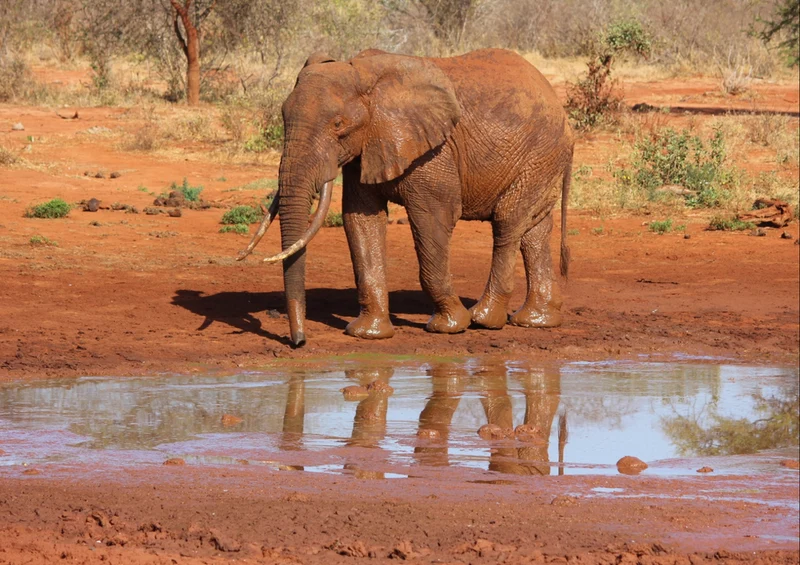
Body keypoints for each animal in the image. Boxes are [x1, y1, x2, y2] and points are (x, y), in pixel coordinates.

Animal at [238, 48, 574, 346]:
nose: (299, 342)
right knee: (533, 230)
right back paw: (535, 320)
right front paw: (367, 334)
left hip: (539, 152)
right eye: (283, 117)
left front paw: (449, 326)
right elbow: (361, 221)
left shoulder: (433, 152)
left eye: (338, 125)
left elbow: (433, 218)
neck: (365, 78)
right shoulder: (368, 147)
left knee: (507, 222)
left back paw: (485, 319)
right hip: (542, 160)